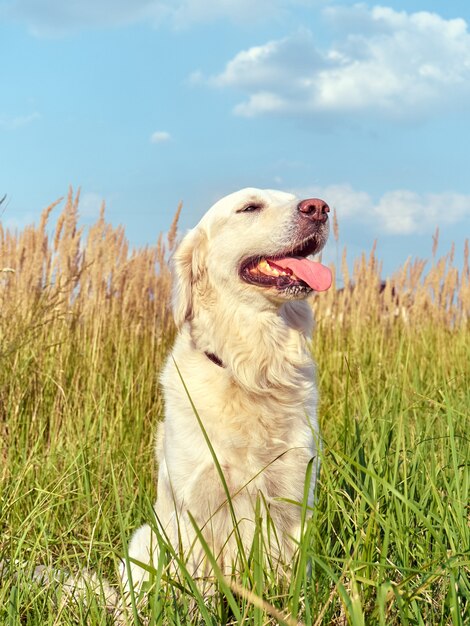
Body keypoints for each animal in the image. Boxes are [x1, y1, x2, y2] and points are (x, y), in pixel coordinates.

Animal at [123, 186, 332, 588]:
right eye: (249, 207)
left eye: (295, 197)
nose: (319, 208)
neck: (252, 370)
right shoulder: (195, 509)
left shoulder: (296, 495)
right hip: (144, 541)